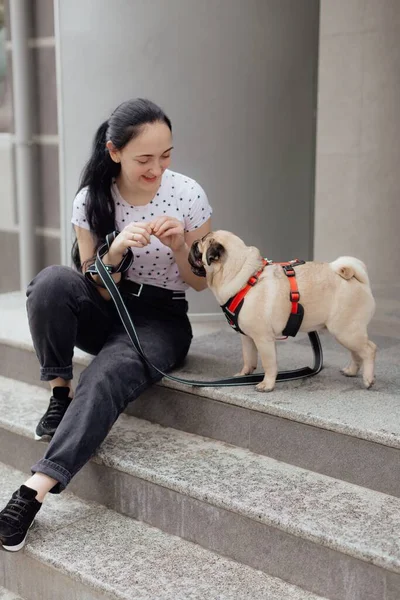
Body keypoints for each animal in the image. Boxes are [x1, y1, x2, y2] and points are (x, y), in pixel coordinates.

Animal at [189, 231, 376, 394]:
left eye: (200, 246)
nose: (192, 242)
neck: (242, 277)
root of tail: (357, 279)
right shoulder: (247, 337)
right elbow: (248, 358)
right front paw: (244, 375)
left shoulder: (263, 339)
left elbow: (269, 364)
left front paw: (267, 384)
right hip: (346, 333)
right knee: (356, 352)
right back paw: (351, 371)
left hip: (345, 331)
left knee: (369, 349)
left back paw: (368, 379)